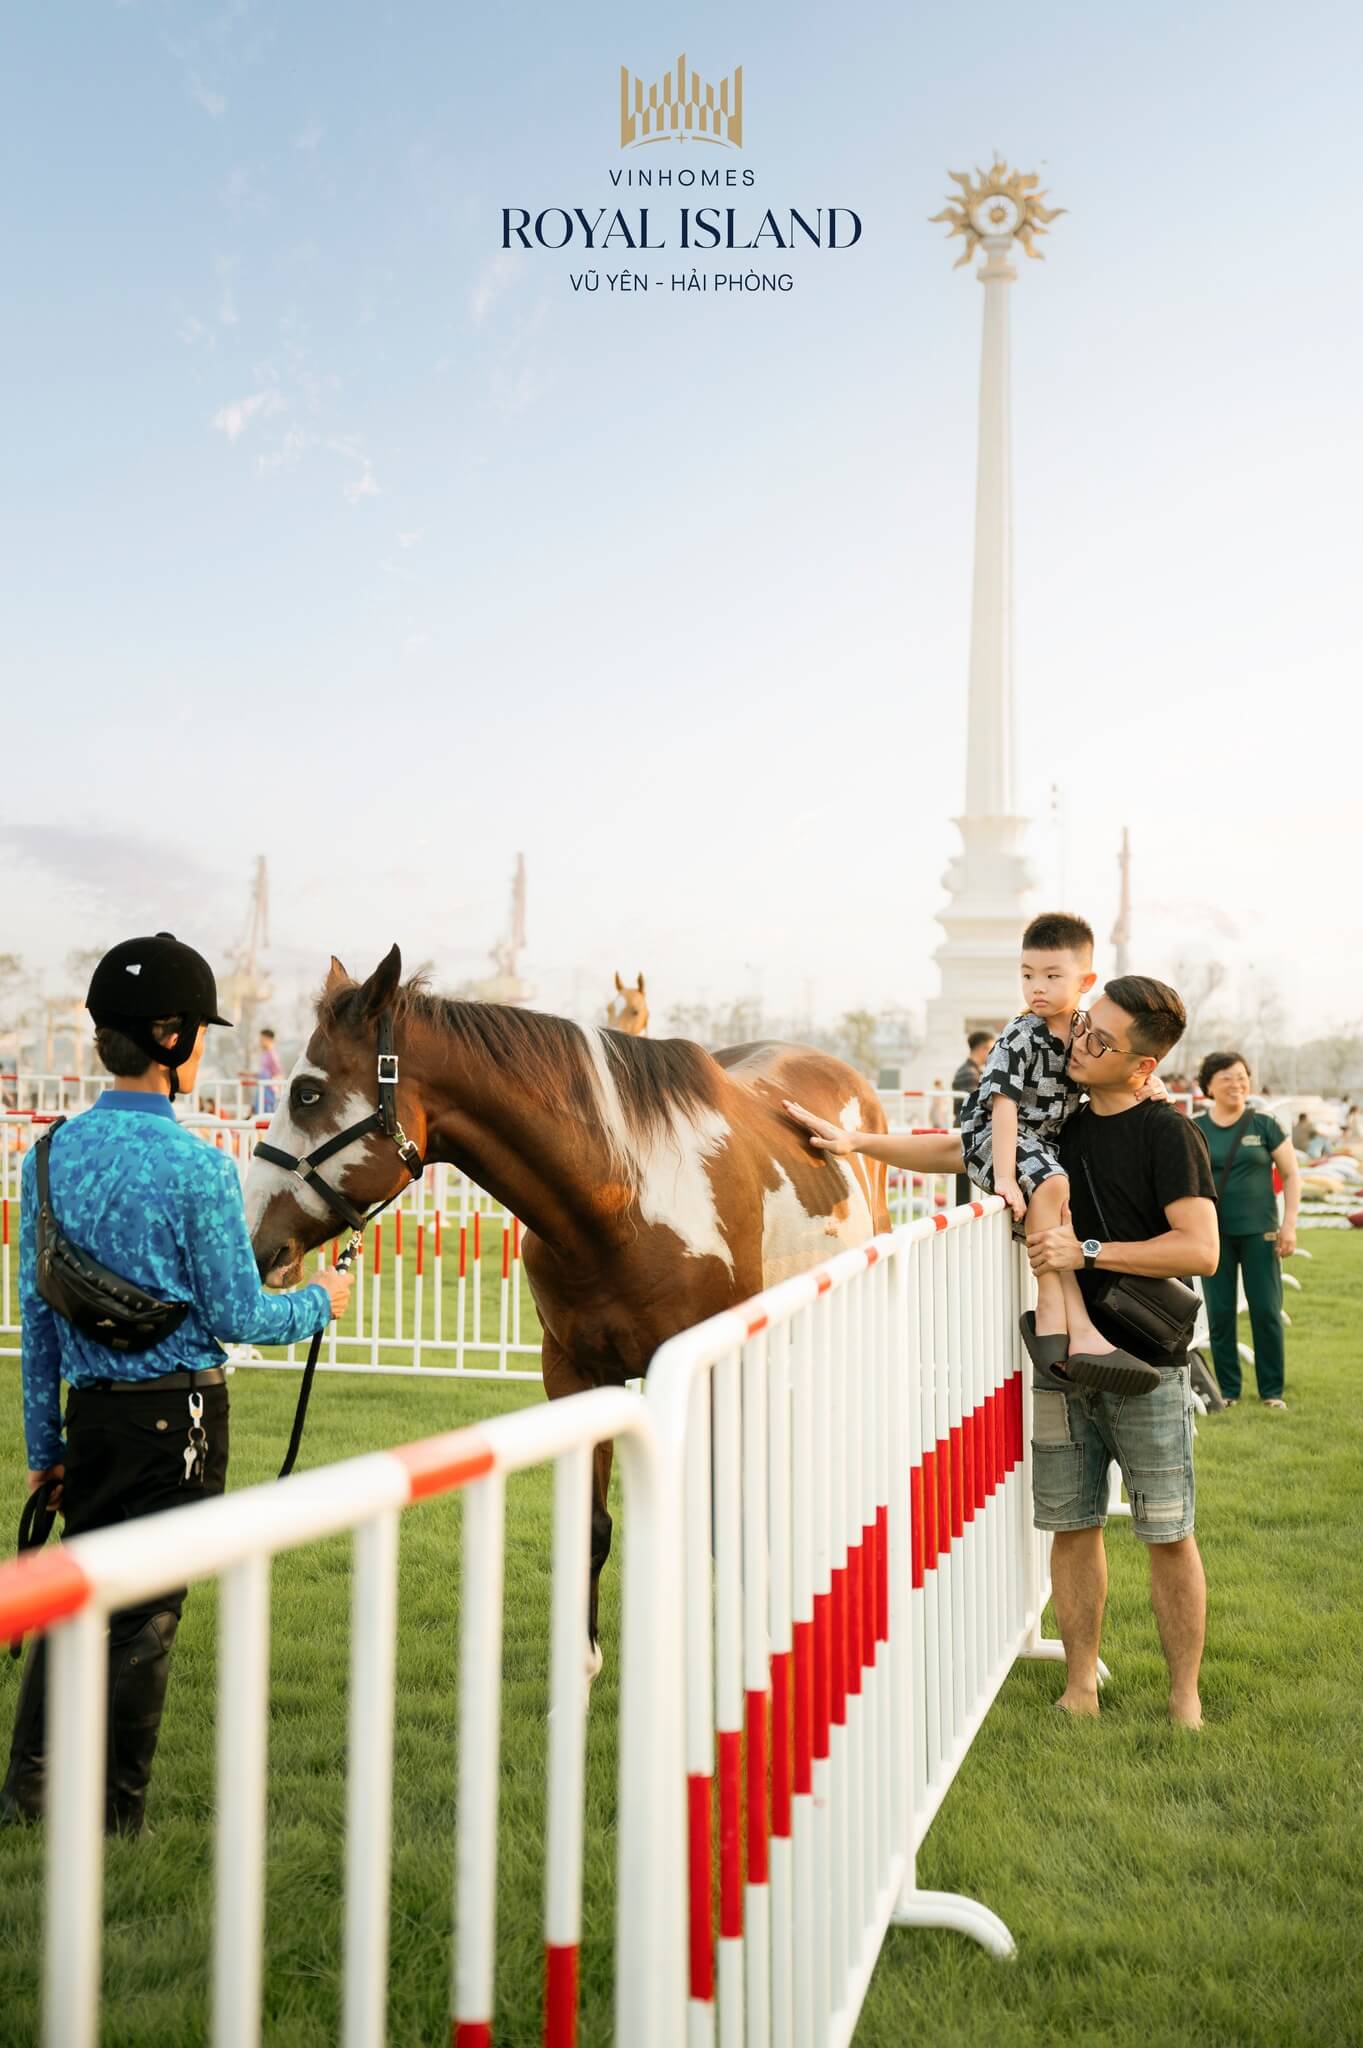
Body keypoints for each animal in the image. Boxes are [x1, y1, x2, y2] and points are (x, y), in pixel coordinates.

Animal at [245, 946, 888, 1663]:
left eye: (308, 1093)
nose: (257, 1240)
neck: (623, 1199)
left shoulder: (712, 1374)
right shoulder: (578, 1374)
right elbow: (593, 1526)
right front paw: (582, 1665)